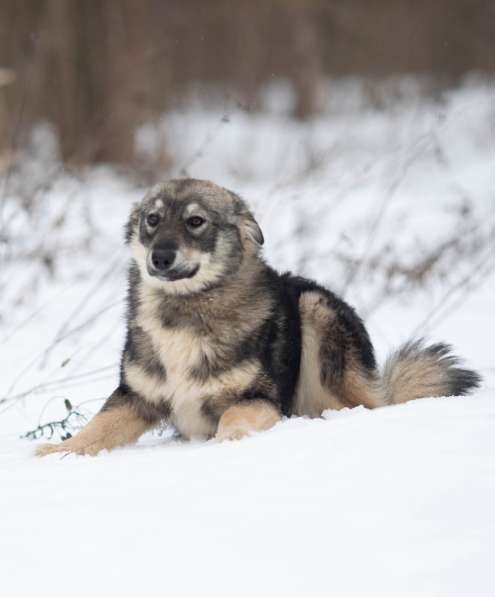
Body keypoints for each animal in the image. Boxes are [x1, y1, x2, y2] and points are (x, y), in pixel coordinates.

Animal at [36, 177, 482, 456]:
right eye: (153, 219)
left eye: (195, 222)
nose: (159, 257)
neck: (185, 310)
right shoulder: (136, 398)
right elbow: (96, 428)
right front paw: (60, 451)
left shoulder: (259, 399)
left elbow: (233, 418)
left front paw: (222, 444)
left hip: (316, 312)